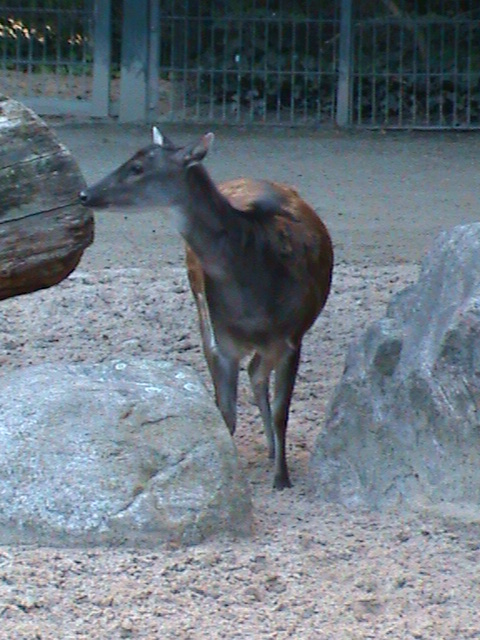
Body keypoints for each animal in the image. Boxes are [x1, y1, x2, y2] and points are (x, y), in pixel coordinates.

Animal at [79, 129, 334, 489]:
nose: (85, 194)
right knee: (253, 372)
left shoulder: (292, 336)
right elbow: (224, 411)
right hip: (202, 313)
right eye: (131, 159)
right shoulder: (221, 340)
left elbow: (282, 410)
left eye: (138, 167)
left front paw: (281, 479)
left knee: (257, 373)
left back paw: (273, 451)